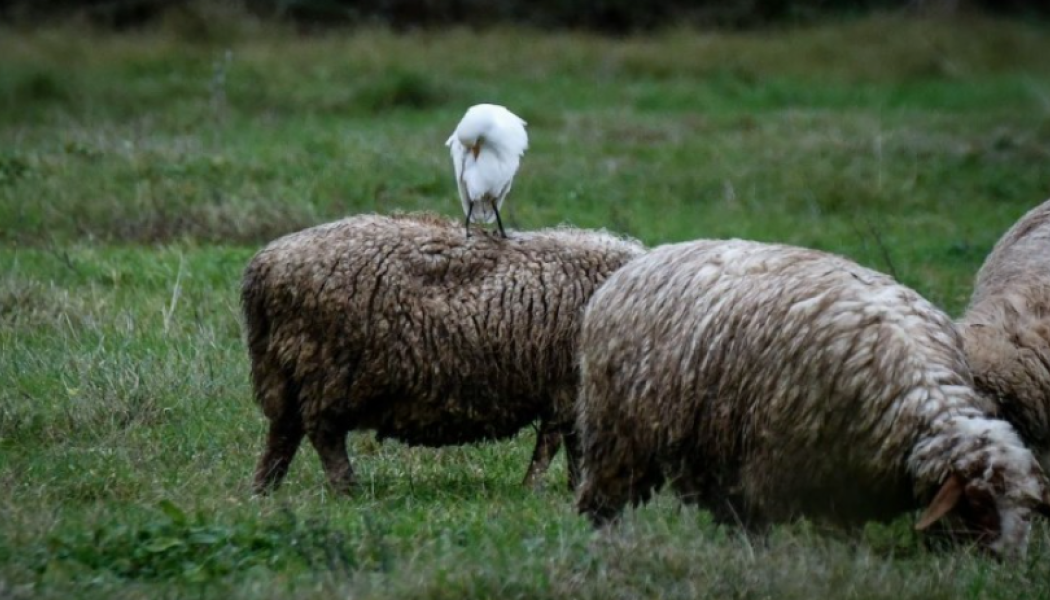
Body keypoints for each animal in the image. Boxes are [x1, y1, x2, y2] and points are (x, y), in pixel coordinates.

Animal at [241, 213, 642, 495]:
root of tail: (263, 267)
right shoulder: (566, 387)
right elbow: (557, 443)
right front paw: (537, 489)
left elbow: (570, 444)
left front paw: (569, 488)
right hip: (325, 368)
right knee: (323, 435)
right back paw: (347, 490)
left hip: (285, 369)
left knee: (283, 432)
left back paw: (264, 491)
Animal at [575, 240, 1050, 559]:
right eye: (978, 504)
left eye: (1026, 508)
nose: (1002, 565)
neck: (919, 396)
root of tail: (644, 258)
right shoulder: (786, 463)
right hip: (617, 434)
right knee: (605, 501)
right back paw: (603, 541)